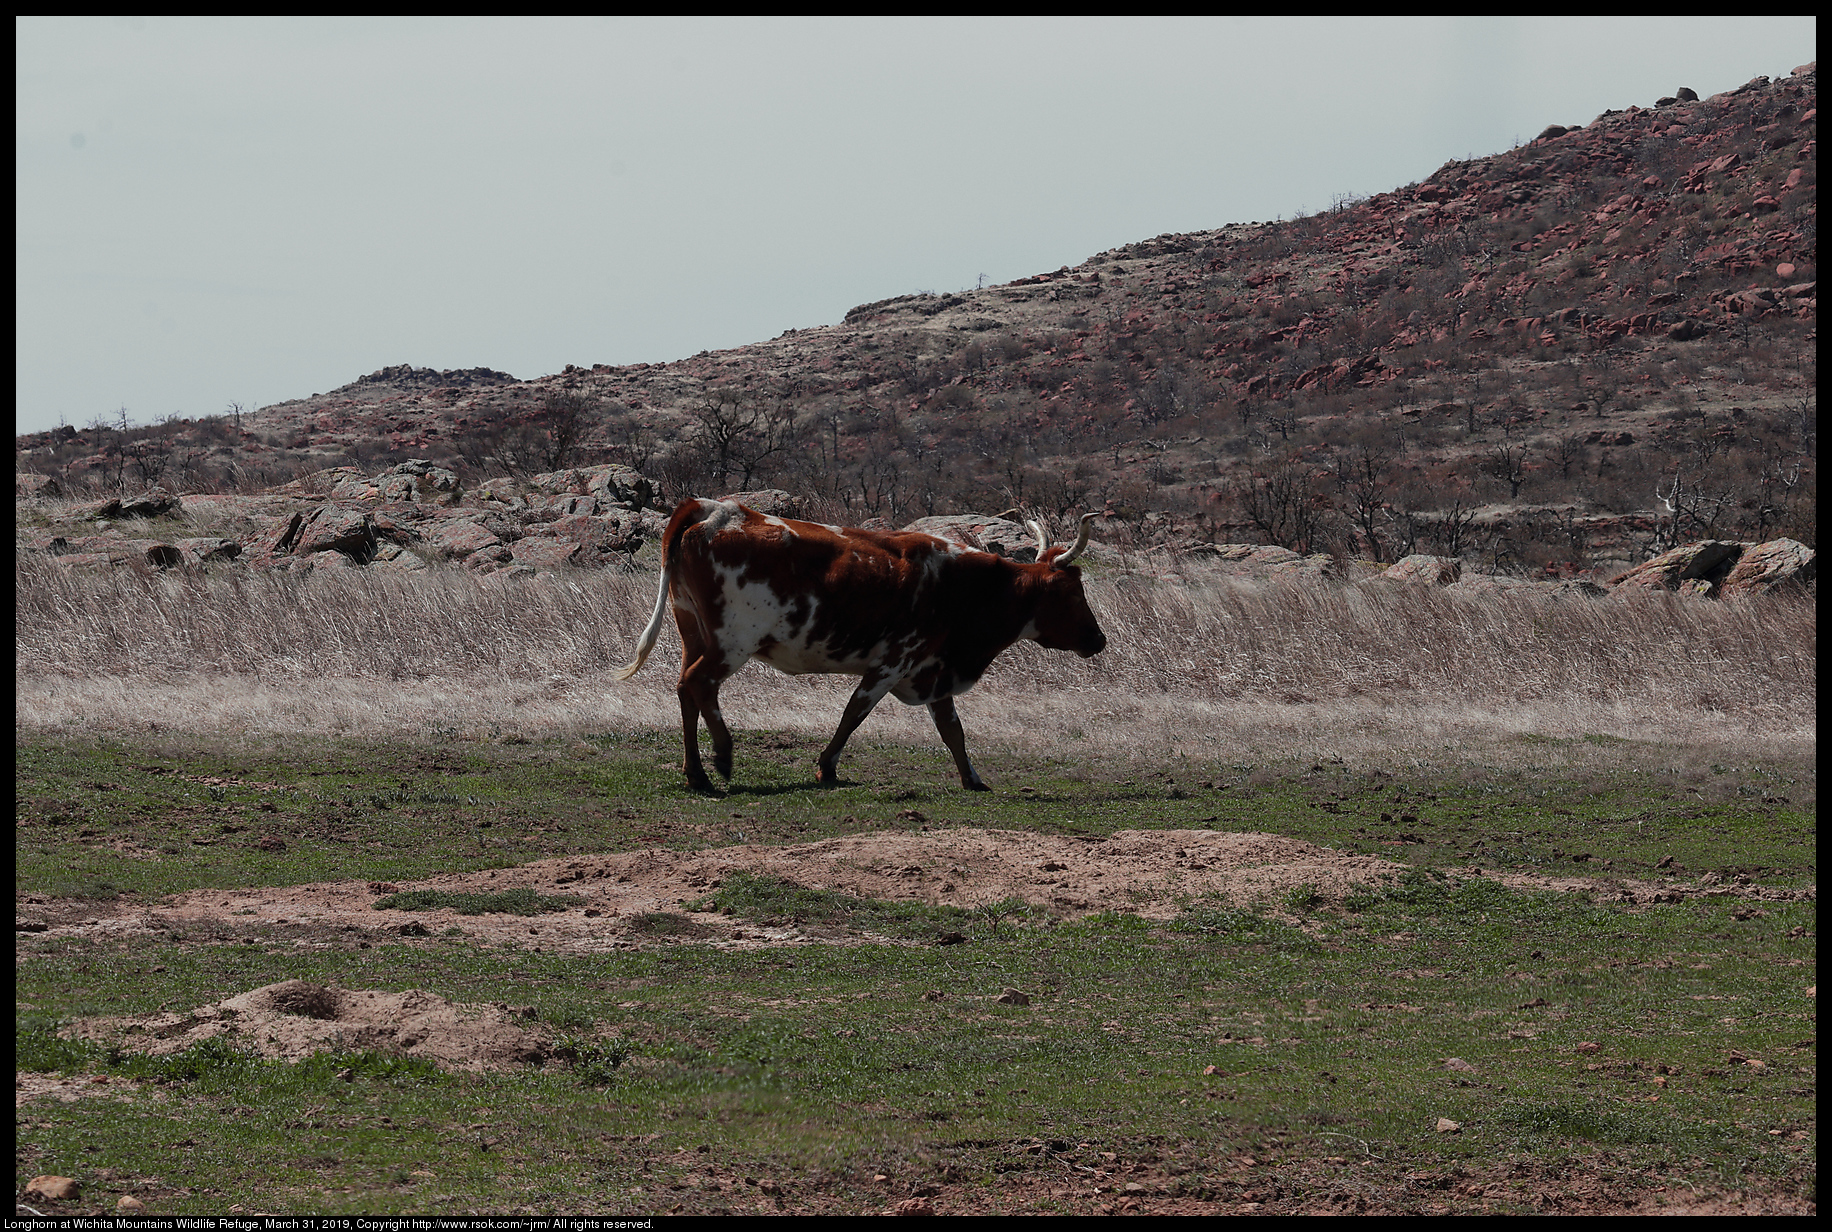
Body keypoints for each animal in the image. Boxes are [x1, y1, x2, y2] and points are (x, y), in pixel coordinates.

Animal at [611, 498, 1099, 795]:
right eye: (1073, 593)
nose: (1099, 639)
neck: (962, 587)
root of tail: (716, 509)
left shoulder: (932, 671)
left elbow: (953, 730)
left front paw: (972, 778)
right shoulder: (891, 665)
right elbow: (854, 715)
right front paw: (826, 766)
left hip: (692, 629)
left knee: (684, 689)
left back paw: (696, 775)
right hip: (731, 642)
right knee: (700, 685)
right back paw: (724, 757)